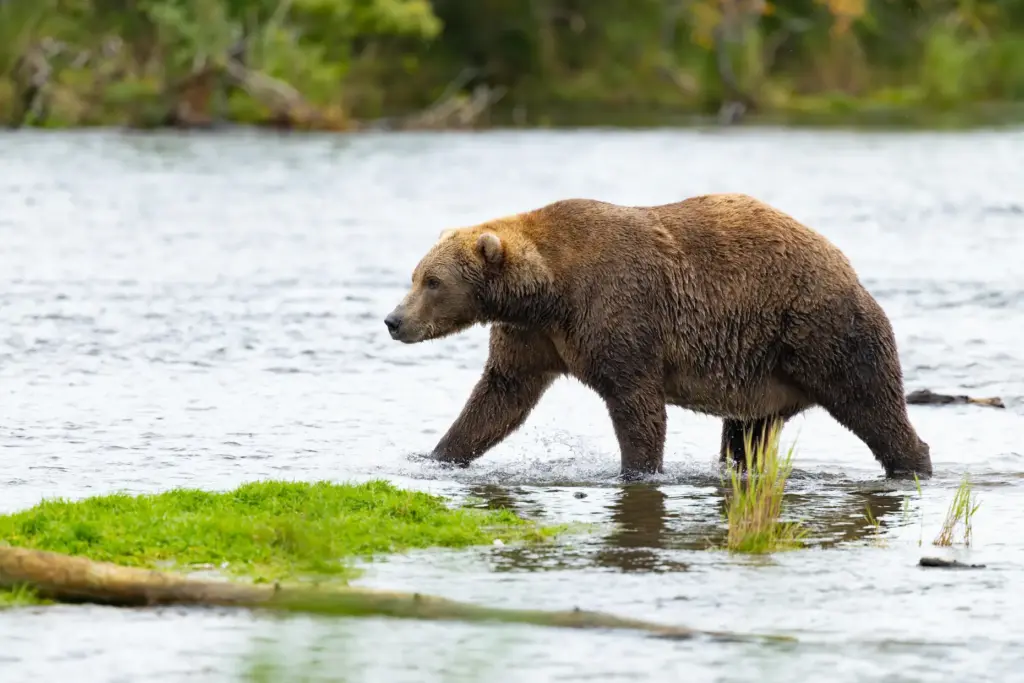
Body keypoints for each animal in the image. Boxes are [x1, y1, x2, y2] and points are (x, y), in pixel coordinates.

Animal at [383, 193, 933, 481]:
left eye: (433, 282)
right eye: (415, 276)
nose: (393, 320)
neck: (549, 291)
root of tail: (846, 265)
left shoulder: (619, 313)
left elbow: (636, 404)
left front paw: (638, 469)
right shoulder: (532, 337)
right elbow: (498, 398)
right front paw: (437, 455)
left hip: (818, 330)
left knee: (870, 400)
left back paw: (912, 463)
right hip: (759, 374)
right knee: (747, 435)